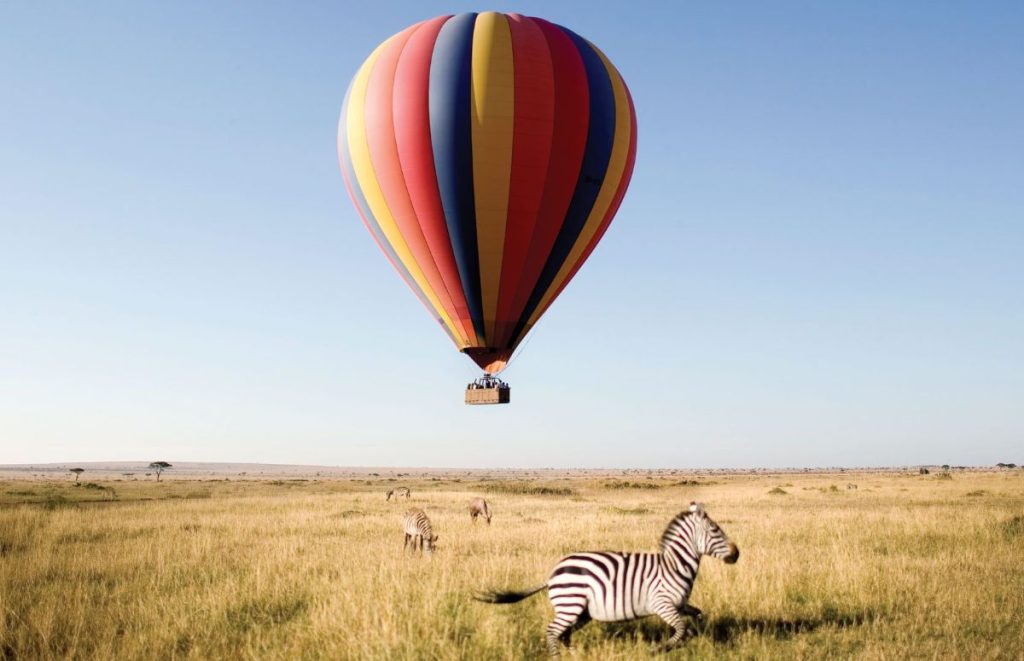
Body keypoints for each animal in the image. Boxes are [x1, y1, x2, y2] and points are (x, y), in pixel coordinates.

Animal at [475, 505, 741, 654]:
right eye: (715, 530)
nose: (737, 554)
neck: (674, 566)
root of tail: (552, 574)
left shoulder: (680, 605)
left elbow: (696, 618)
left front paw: (693, 640)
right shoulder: (661, 604)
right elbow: (682, 628)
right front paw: (658, 649)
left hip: (581, 612)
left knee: (564, 634)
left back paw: (575, 656)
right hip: (570, 606)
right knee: (553, 632)